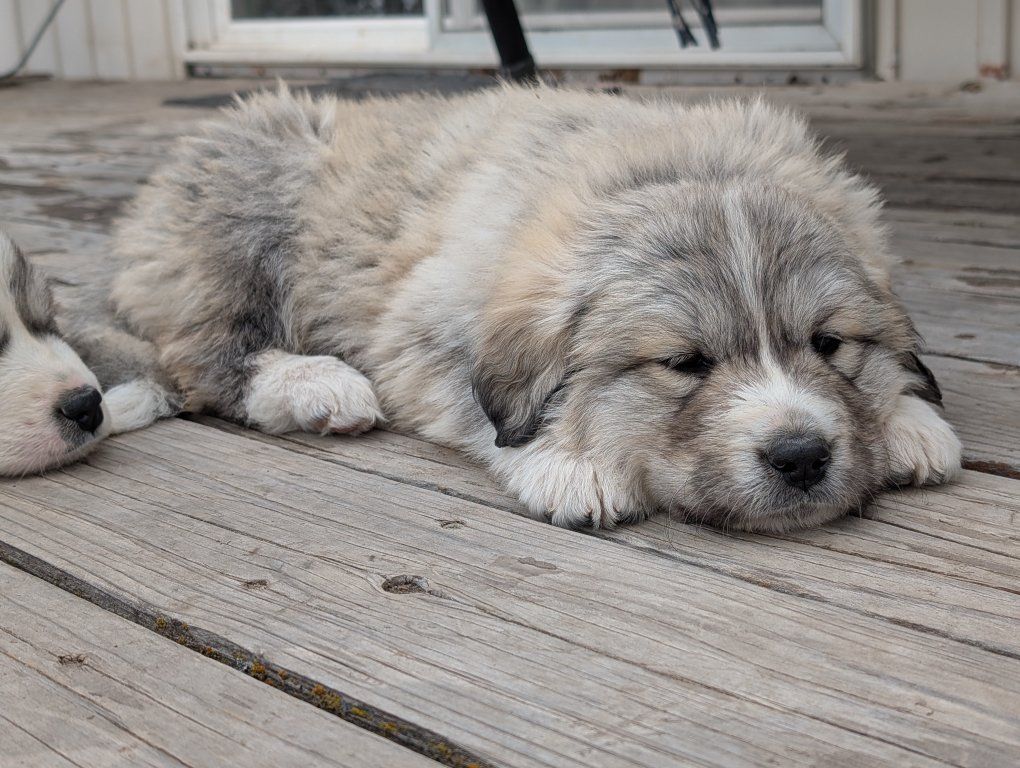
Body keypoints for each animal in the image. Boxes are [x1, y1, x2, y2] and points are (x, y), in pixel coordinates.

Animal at [109, 85, 962, 531]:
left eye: (829, 344)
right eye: (684, 363)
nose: (801, 456)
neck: (667, 168)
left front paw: (909, 423)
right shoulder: (415, 327)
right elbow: (478, 407)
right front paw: (571, 461)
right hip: (247, 210)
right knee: (205, 356)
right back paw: (317, 385)